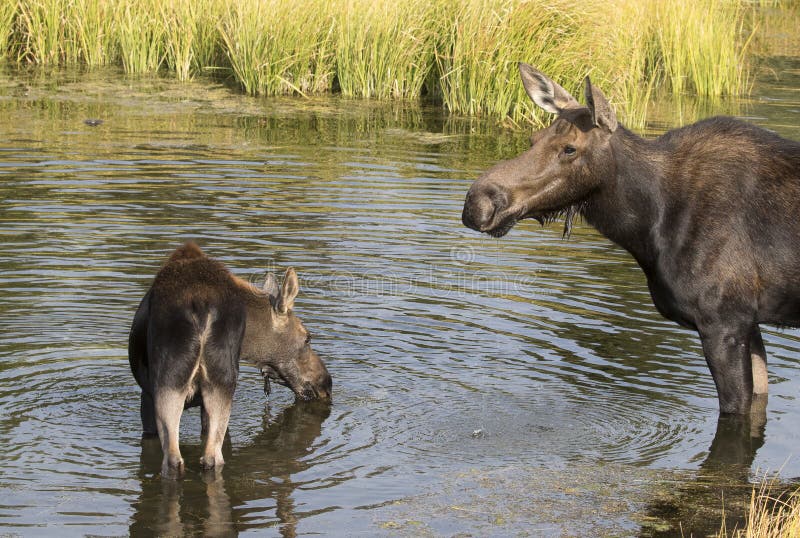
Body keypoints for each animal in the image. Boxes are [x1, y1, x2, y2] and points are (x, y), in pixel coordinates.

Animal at [128, 241, 332, 476]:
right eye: (308, 338)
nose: (326, 383)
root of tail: (201, 306)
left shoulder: (147, 395)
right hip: (213, 384)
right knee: (209, 458)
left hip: (170, 382)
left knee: (177, 459)